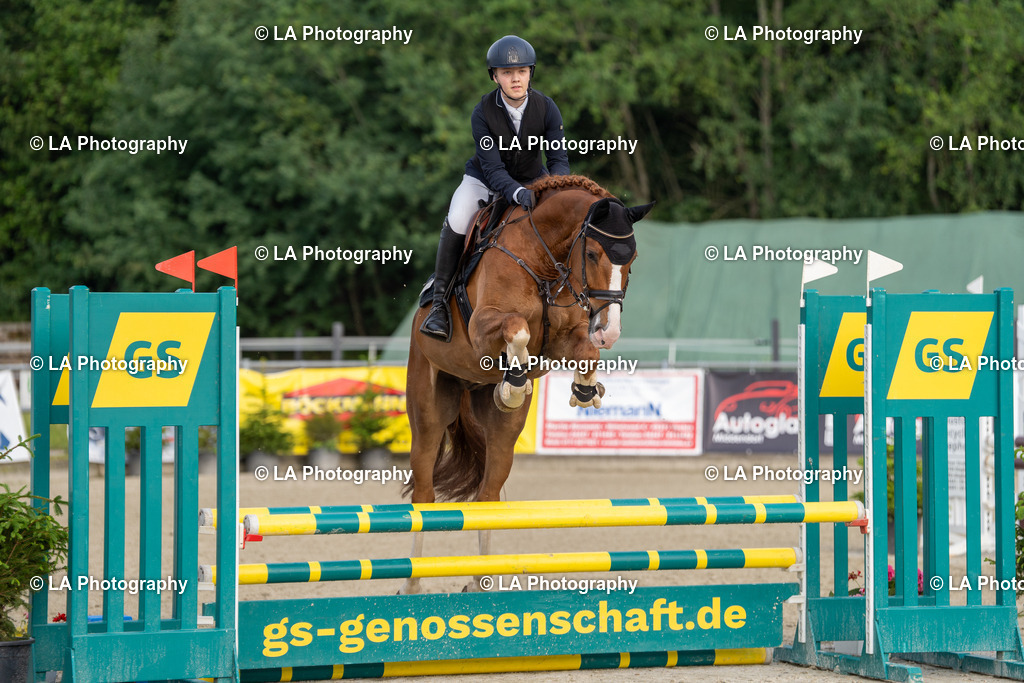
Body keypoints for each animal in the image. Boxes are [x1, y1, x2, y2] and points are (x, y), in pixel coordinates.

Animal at [401, 174, 653, 592]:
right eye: (592, 255)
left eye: (631, 261)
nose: (610, 331)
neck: (543, 261)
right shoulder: (483, 327)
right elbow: (515, 328)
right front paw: (515, 382)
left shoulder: (563, 339)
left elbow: (586, 352)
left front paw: (584, 389)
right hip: (428, 413)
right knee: (423, 496)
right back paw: (412, 585)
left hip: (502, 435)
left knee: (488, 497)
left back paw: (481, 580)